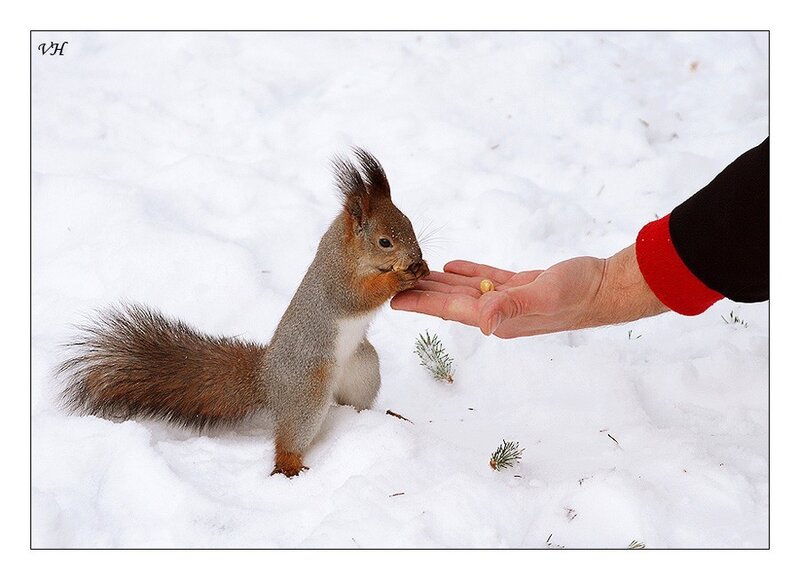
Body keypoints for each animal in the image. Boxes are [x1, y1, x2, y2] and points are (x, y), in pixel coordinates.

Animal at [58, 148, 429, 477]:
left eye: (409, 222)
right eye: (384, 242)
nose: (416, 256)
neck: (349, 252)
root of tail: (266, 381)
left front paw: (421, 270)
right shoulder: (336, 282)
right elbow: (358, 297)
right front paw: (399, 277)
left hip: (362, 368)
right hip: (308, 390)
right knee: (290, 437)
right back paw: (289, 466)